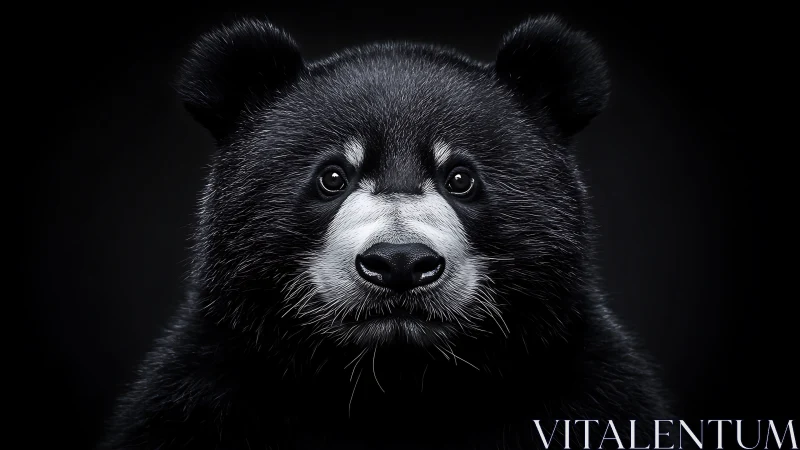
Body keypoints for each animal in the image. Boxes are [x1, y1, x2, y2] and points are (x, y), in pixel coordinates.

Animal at [101, 15, 671, 450]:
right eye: (332, 177)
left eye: (460, 178)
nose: (400, 263)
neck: (394, 382)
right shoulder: (209, 394)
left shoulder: (582, 389)